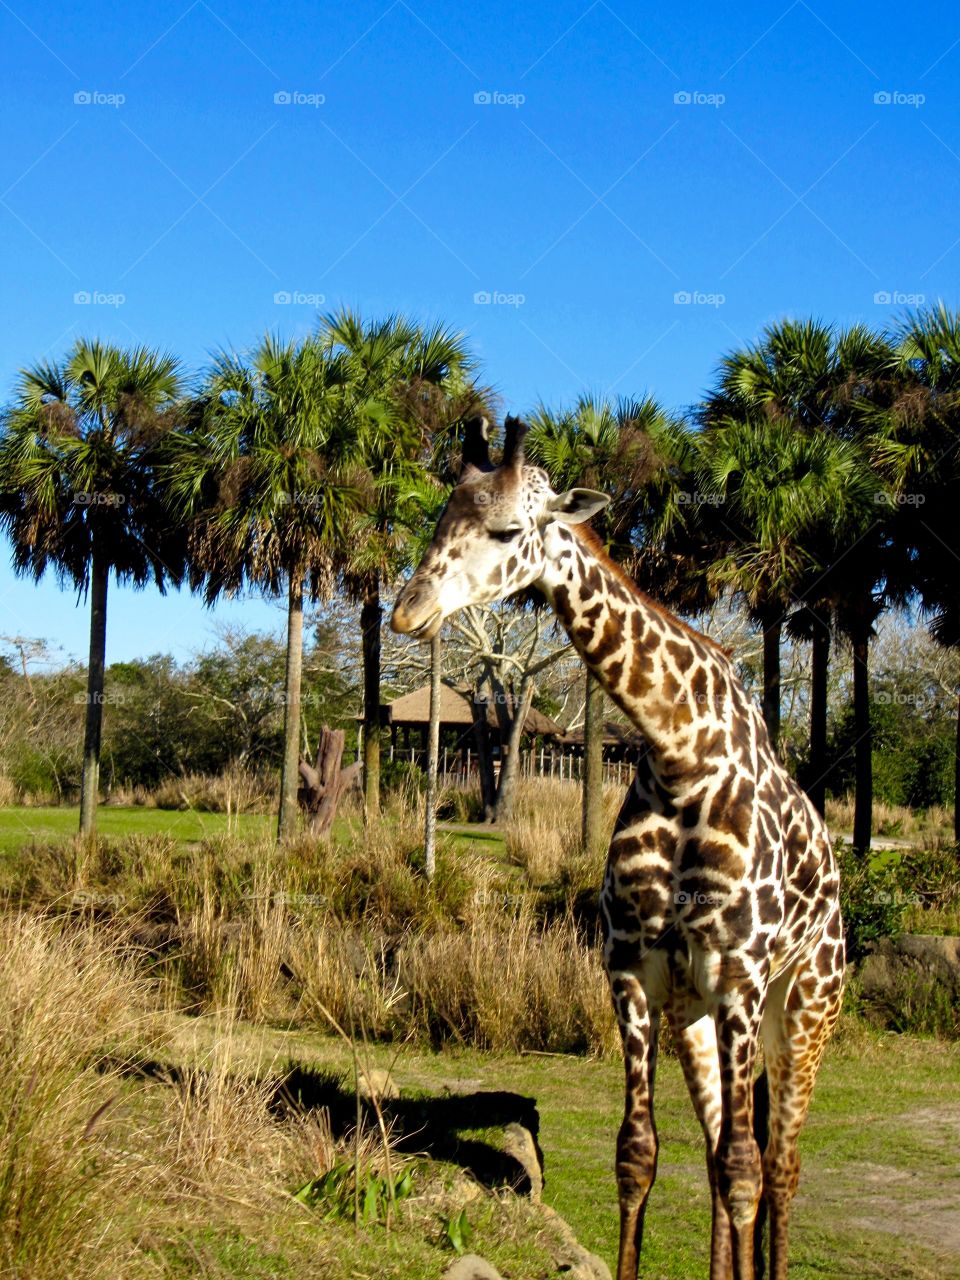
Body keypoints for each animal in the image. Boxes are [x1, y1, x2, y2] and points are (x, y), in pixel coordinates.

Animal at [389, 419, 839, 1280]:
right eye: (440, 519)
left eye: (508, 530)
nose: (407, 612)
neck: (678, 752)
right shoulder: (632, 966)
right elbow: (640, 1154)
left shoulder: (740, 976)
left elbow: (746, 1167)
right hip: (694, 1010)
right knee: (718, 1151)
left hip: (804, 1006)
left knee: (779, 1164)